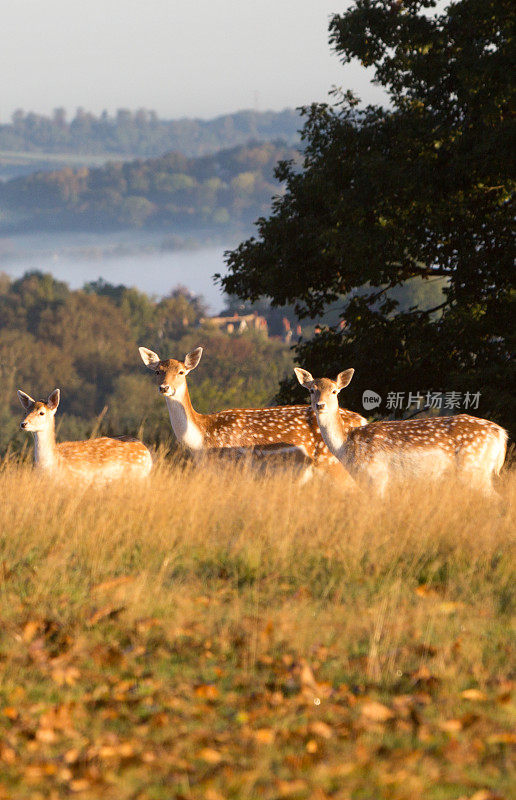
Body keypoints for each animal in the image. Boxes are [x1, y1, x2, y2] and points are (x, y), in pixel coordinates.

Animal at [139, 346, 364, 482]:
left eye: (181, 372)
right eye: (157, 371)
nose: (164, 387)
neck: (201, 439)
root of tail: (362, 419)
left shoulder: (234, 468)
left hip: (336, 467)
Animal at [294, 368, 508, 494]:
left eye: (334, 391)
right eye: (311, 390)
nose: (320, 405)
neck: (347, 446)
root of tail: (501, 434)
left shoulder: (376, 476)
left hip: (474, 467)